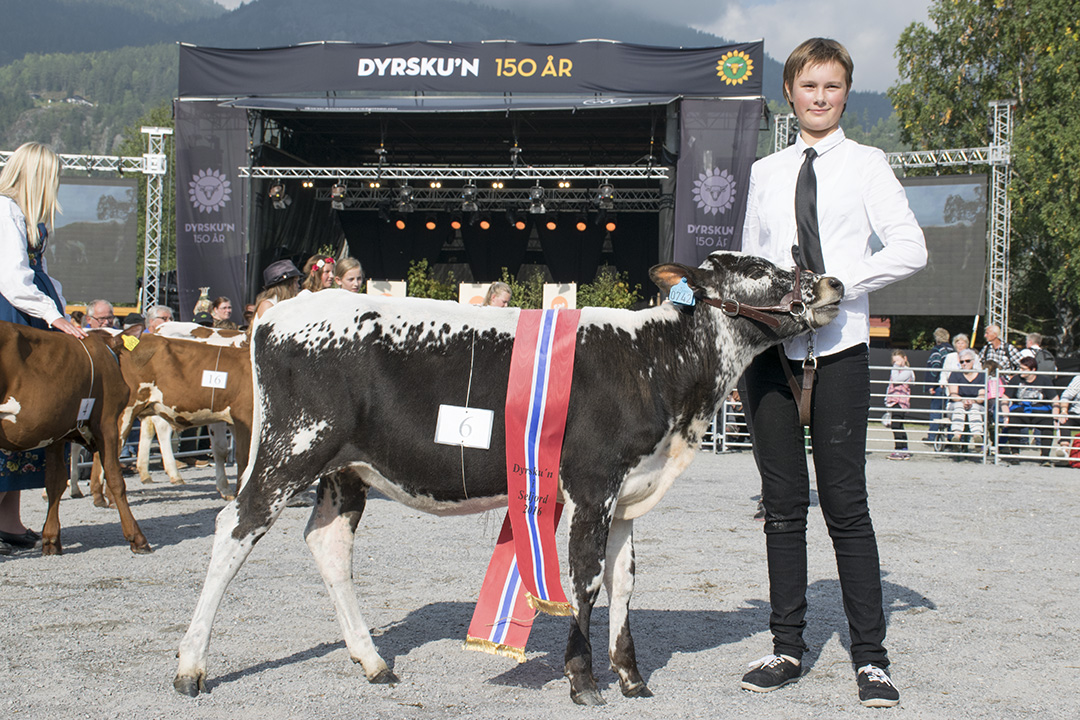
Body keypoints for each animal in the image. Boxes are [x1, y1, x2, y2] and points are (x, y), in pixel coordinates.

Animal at [0, 322, 150, 555]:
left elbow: (55, 481)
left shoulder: (55, 432)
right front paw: (137, 538)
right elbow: (115, 478)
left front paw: (51, 539)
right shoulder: (107, 423)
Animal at [173, 252, 844, 705]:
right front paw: (583, 680)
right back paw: (190, 668)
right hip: (291, 448)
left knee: (327, 543)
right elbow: (585, 581)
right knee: (233, 528)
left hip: (344, 468)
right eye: (757, 269)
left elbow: (624, 582)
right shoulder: (593, 484)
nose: (832, 282)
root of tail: (278, 314)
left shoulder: (629, 492)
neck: (659, 365)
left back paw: (374, 662)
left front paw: (631, 677)